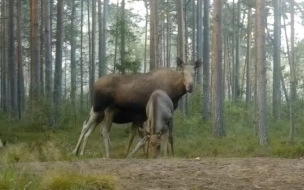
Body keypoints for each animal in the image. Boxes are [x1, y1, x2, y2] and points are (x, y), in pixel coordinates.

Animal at [72, 57, 202, 158]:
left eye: (195, 73)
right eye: (183, 73)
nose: (190, 86)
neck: (176, 91)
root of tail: (94, 84)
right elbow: (160, 136)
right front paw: (166, 154)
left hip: (100, 112)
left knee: (88, 128)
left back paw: (80, 152)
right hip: (99, 108)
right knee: (91, 127)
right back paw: (86, 152)